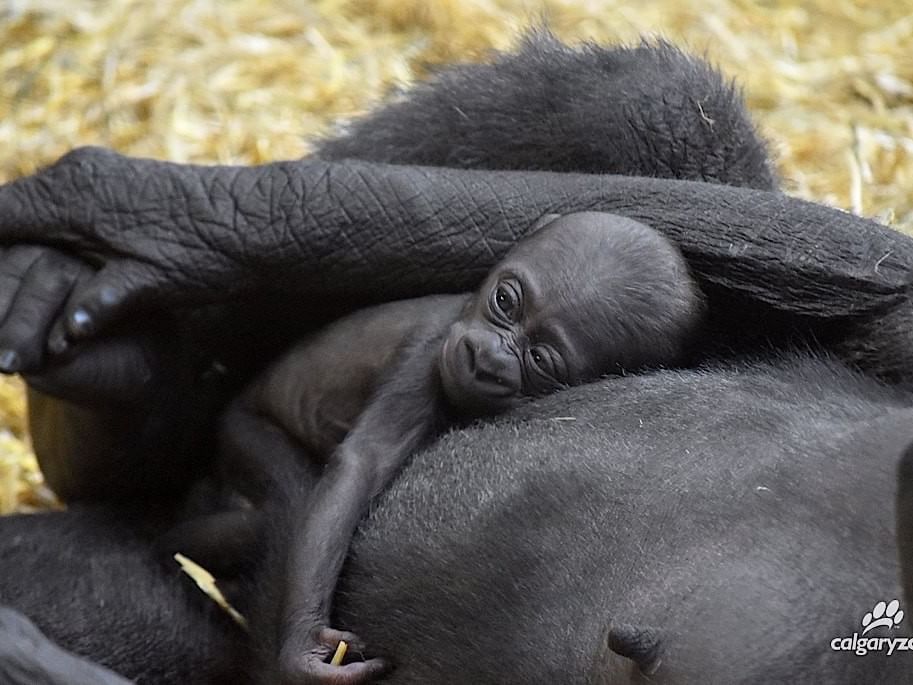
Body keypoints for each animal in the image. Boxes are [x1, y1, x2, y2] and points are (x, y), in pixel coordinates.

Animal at [162, 211, 700, 680]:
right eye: (506, 301)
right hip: (242, 427)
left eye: (540, 360)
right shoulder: (431, 351)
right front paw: (305, 645)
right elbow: (363, 461)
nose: (486, 359)